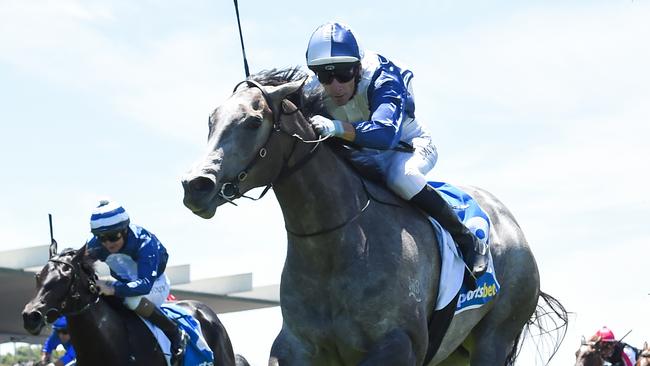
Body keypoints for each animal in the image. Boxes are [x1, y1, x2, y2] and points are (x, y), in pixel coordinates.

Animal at [182, 67, 568, 364]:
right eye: (211, 120)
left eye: (253, 121)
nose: (196, 185)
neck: (334, 247)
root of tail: (508, 221)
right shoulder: (296, 348)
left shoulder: (399, 344)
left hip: (494, 337)